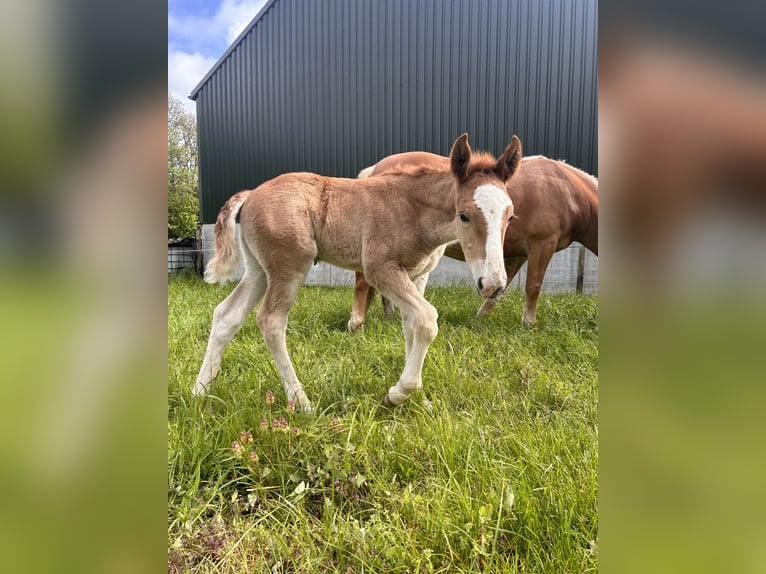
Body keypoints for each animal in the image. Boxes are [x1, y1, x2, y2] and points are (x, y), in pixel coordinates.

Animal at [195, 134, 524, 414]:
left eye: (510, 216)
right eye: (464, 215)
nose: (493, 284)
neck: (413, 210)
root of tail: (251, 194)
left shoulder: (416, 275)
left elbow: (412, 324)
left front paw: (419, 400)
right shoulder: (380, 269)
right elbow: (427, 319)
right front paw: (398, 394)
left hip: (258, 270)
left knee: (226, 315)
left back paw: (200, 391)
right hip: (289, 267)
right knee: (271, 321)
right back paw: (302, 402)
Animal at [350, 153, 600, 330]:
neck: (566, 191)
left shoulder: (517, 254)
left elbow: (502, 288)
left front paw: (480, 317)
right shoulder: (542, 245)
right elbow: (533, 286)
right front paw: (529, 323)